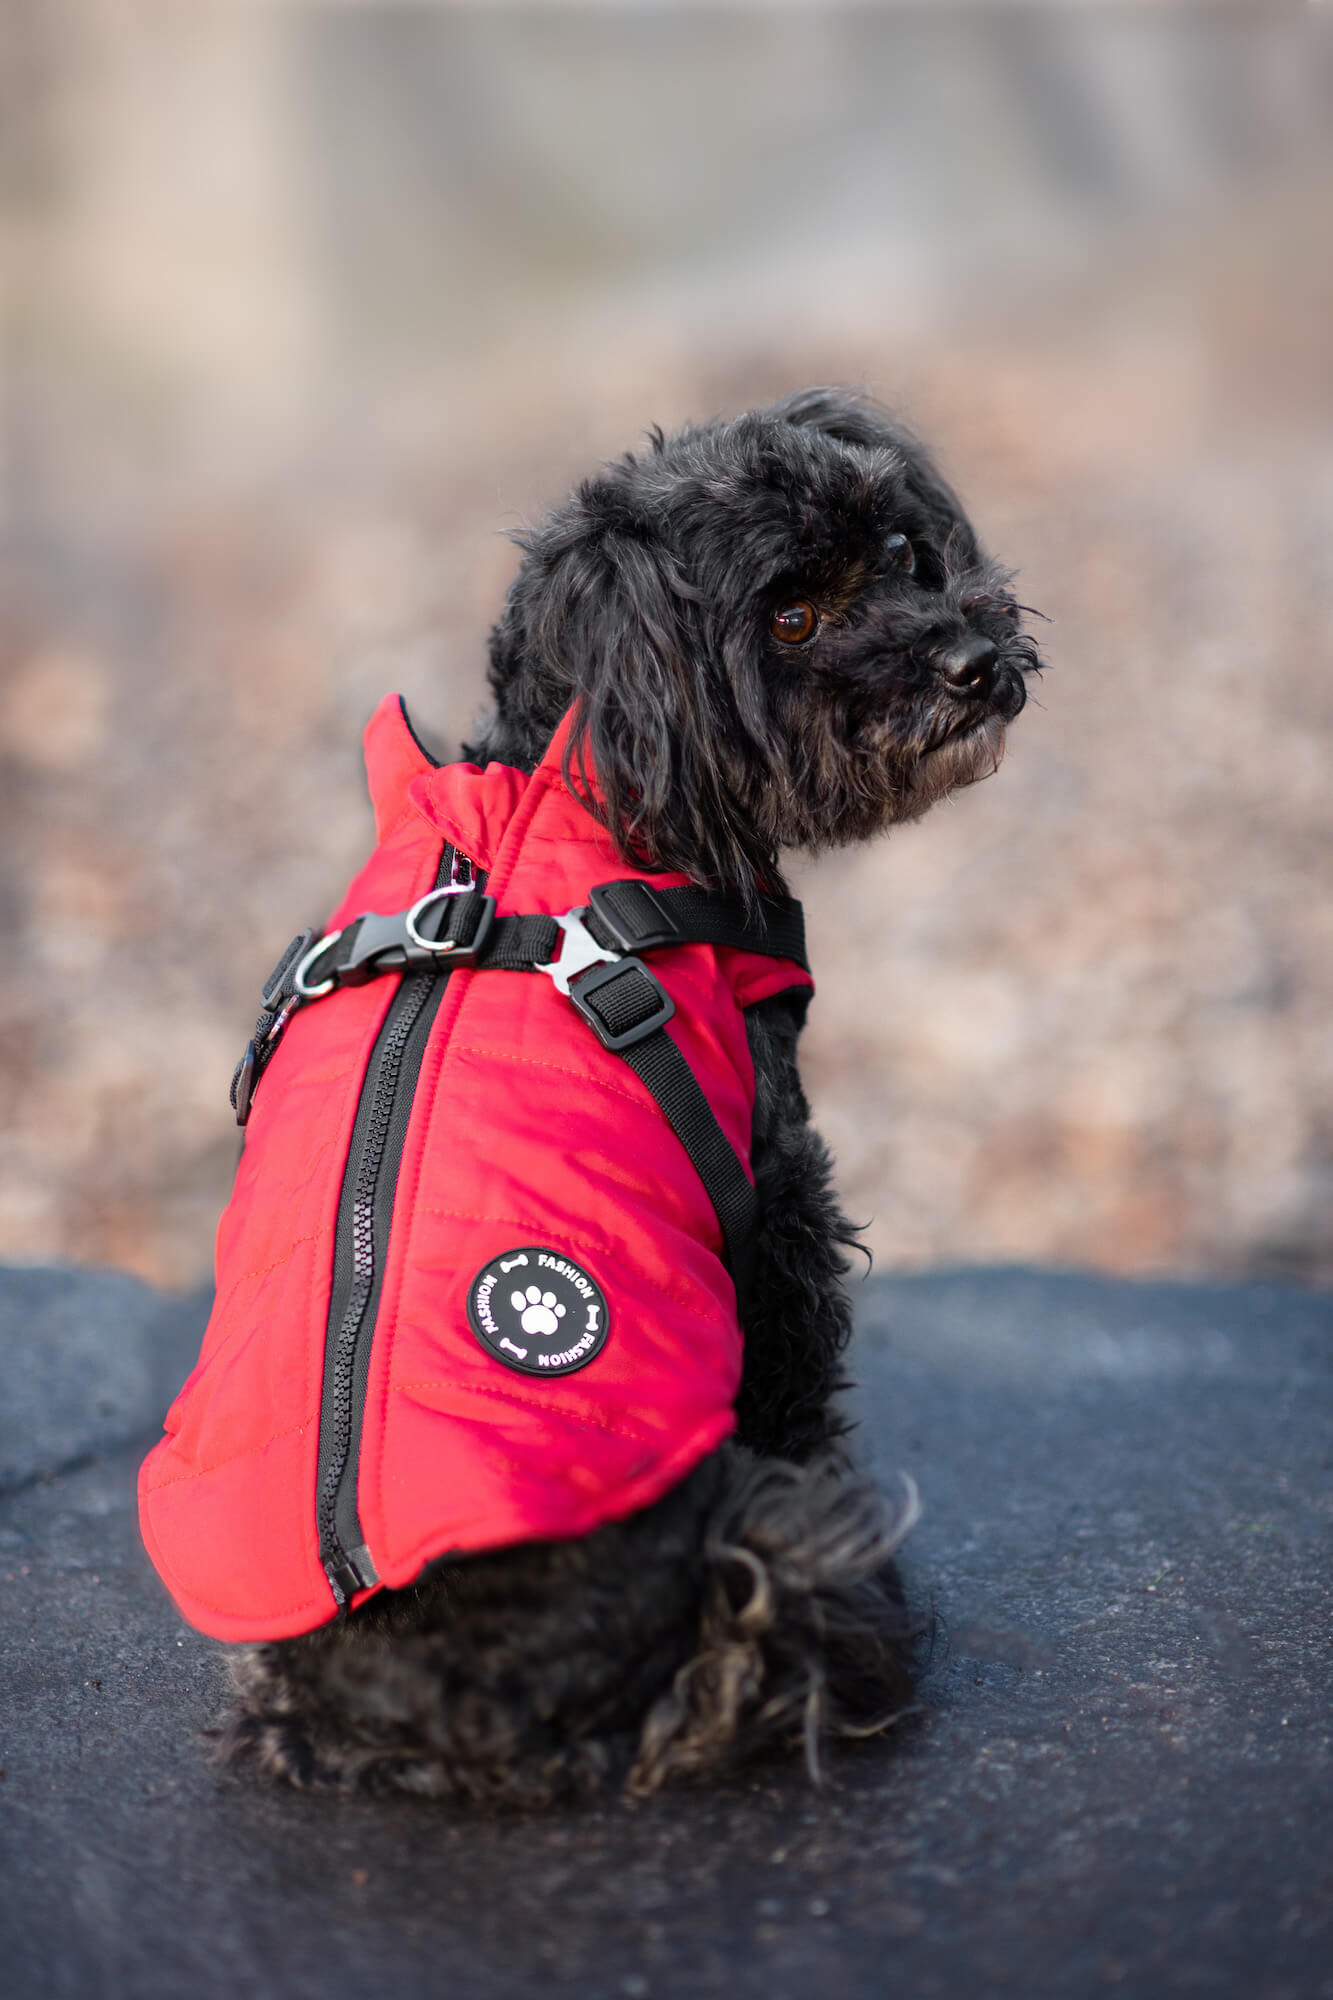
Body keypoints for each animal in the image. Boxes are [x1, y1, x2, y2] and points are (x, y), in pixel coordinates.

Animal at [218, 386, 1032, 1800]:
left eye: (896, 548)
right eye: (789, 619)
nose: (975, 660)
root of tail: (454, 1704)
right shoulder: (775, 1191)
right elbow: (797, 1370)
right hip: (760, 1551)